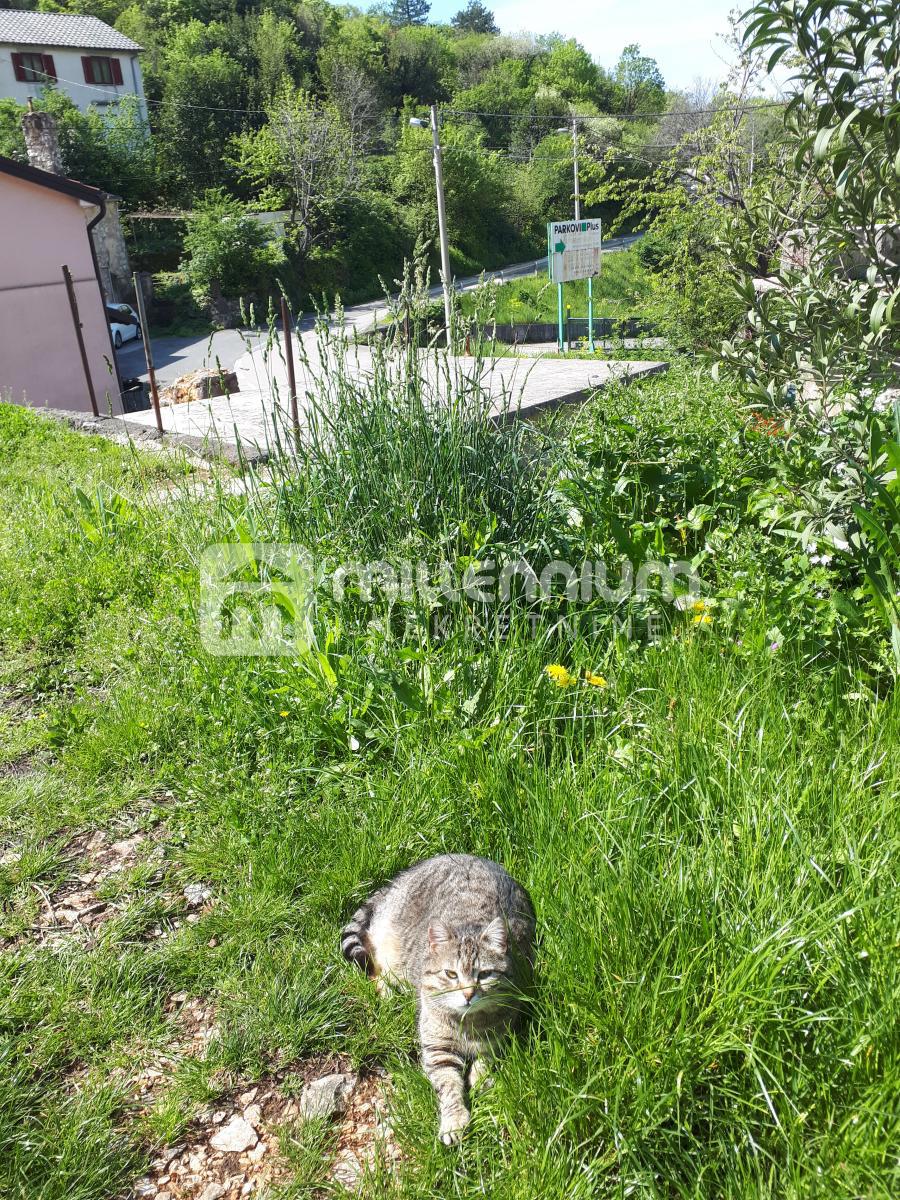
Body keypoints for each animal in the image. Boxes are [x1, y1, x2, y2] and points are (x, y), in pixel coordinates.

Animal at [340, 854, 535, 1142]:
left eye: (484, 974)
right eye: (450, 974)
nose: (468, 994)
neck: (467, 1025)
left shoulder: (503, 1036)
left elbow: (485, 1061)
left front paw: (479, 1079)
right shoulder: (437, 1050)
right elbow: (448, 1086)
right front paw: (454, 1120)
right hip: (389, 950)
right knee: (376, 969)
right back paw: (388, 995)